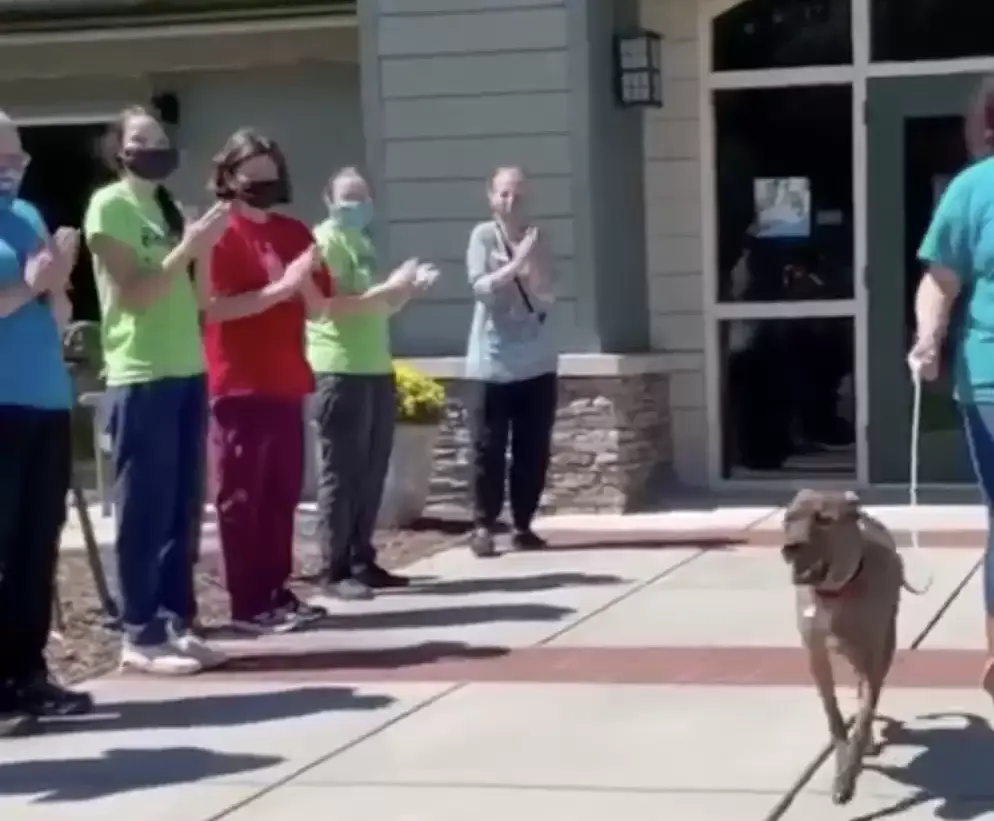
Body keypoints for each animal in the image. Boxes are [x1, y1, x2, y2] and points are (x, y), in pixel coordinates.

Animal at [780, 490, 904, 804]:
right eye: (789, 518)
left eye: (824, 519)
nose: (790, 547)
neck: (835, 593)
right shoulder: (816, 658)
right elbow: (835, 718)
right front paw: (842, 765)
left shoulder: (873, 658)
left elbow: (863, 717)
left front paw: (849, 774)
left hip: (879, 646)